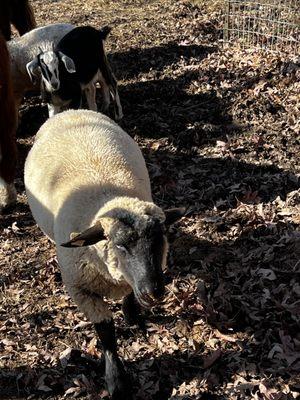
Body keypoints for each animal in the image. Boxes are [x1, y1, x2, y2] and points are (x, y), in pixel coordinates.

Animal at [25, 109, 185, 400]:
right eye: (120, 246)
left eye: (160, 239)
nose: (154, 292)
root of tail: (70, 111)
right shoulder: (81, 291)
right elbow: (106, 332)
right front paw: (117, 381)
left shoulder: (130, 281)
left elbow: (129, 297)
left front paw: (133, 316)